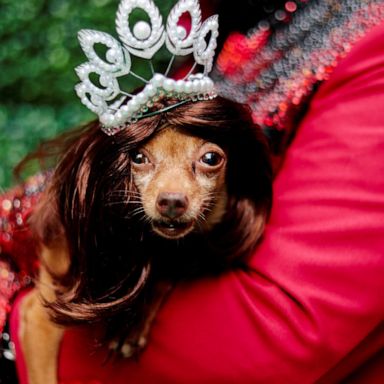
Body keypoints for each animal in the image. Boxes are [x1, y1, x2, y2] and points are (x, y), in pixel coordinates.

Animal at [18, 97, 272, 382]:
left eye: (211, 158)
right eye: (139, 158)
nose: (171, 201)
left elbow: (166, 274)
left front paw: (133, 321)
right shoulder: (40, 318)